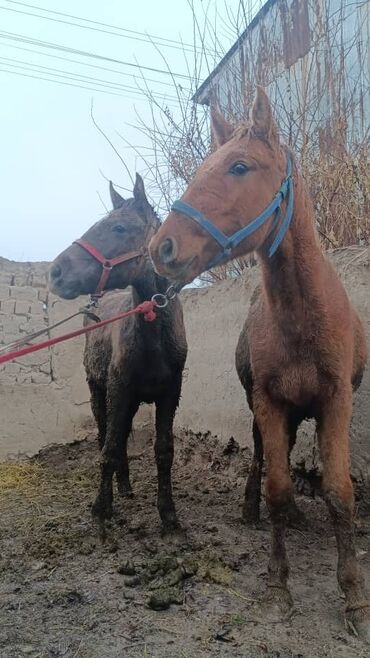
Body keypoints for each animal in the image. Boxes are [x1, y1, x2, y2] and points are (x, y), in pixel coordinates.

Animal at [48, 177, 186, 536]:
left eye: (119, 228)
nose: (55, 272)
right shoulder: (118, 390)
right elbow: (108, 447)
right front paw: (100, 509)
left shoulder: (169, 394)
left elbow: (163, 449)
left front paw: (169, 514)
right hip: (99, 392)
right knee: (106, 435)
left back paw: (124, 485)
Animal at [150, 87, 370, 636]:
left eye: (240, 167)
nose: (162, 248)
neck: (302, 316)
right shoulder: (269, 403)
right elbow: (276, 485)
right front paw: (277, 588)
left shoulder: (336, 402)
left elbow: (339, 493)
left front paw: (354, 598)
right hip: (261, 410)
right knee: (262, 460)